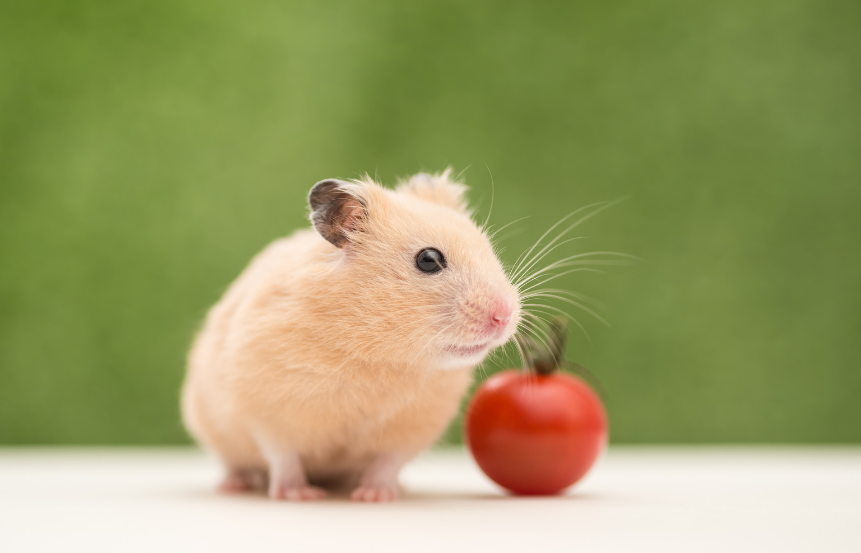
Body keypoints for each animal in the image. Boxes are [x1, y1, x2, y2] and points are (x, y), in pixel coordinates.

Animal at [181, 170, 521, 501]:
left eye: (488, 249)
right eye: (428, 259)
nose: (504, 316)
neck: (379, 352)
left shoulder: (412, 427)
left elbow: (387, 462)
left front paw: (375, 496)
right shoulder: (267, 410)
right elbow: (283, 456)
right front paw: (298, 495)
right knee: (232, 462)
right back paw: (234, 485)